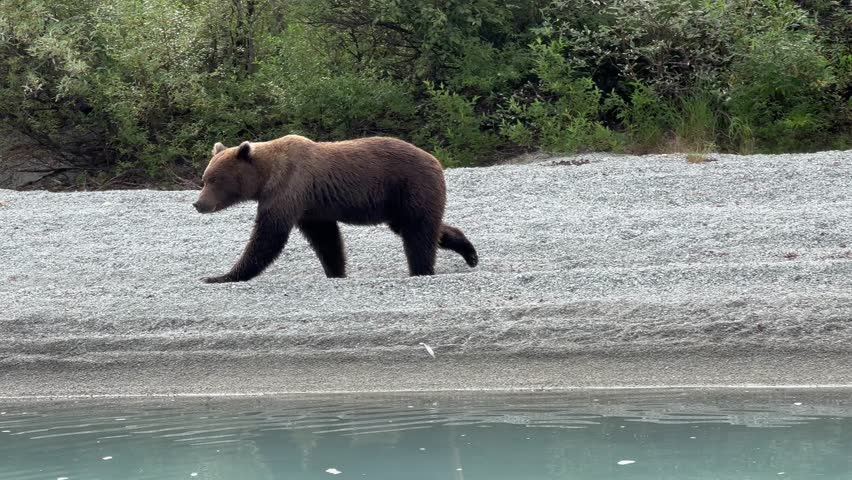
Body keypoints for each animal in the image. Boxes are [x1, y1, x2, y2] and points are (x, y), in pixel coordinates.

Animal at [193, 134, 478, 283]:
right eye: (204, 178)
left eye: (215, 179)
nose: (198, 203)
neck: (266, 176)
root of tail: (435, 160)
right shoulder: (311, 207)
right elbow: (326, 239)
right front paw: (336, 271)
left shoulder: (288, 190)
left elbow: (268, 235)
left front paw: (222, 275)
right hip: (400, 201)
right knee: (422, 228)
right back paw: (469, 252)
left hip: (409, 186)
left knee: (417, 232)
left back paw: (420, 269)